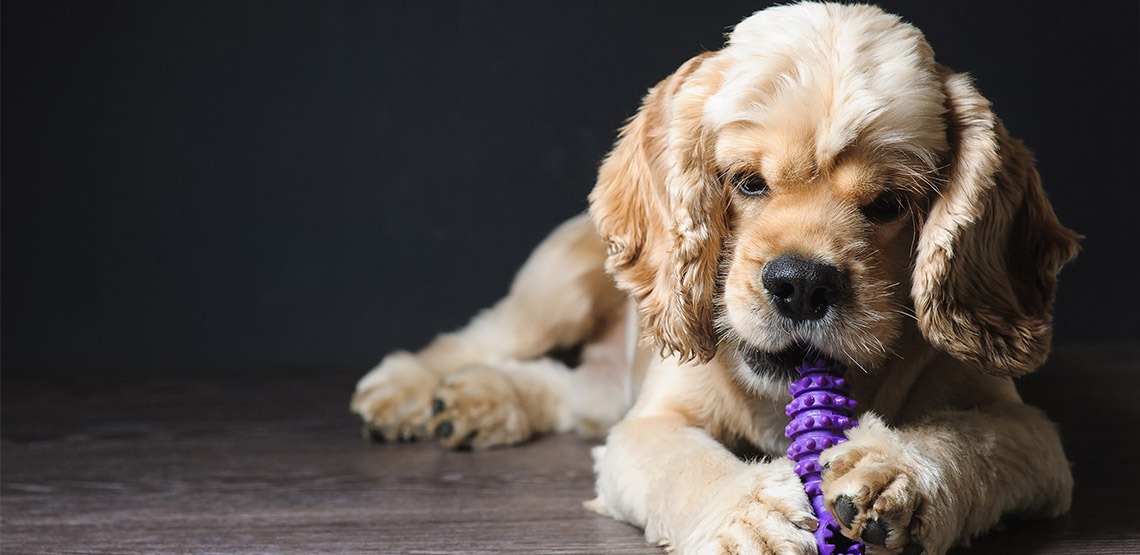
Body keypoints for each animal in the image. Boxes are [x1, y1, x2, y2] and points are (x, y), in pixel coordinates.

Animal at [351, 4, 1080, 555]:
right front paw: (748, 516)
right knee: (482, 338)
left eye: (890, 203)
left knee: (570, 395)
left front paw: (896, 472)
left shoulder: (1030, 434)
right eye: (746, 181)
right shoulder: (649, 425)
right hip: (555, 287)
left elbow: (971, 440)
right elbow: (687, 463)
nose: (801, 286)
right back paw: (415, 390)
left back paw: (480, 401)